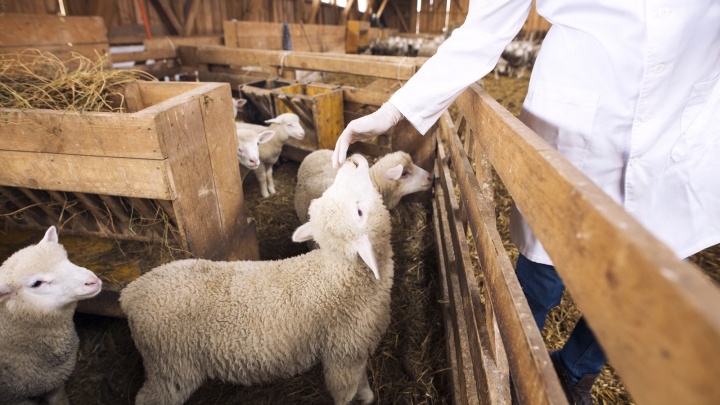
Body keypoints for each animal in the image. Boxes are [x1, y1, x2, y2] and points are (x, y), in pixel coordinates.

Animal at [121, 153, 396, 404]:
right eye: (359, 212)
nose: (353, 161)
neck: (340, 274)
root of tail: (131, 293)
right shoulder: (343, 354)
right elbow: (346, 392)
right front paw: (363, 398)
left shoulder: (356, 349)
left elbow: (362, 380)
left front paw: (368, 396)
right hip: (171, 366)